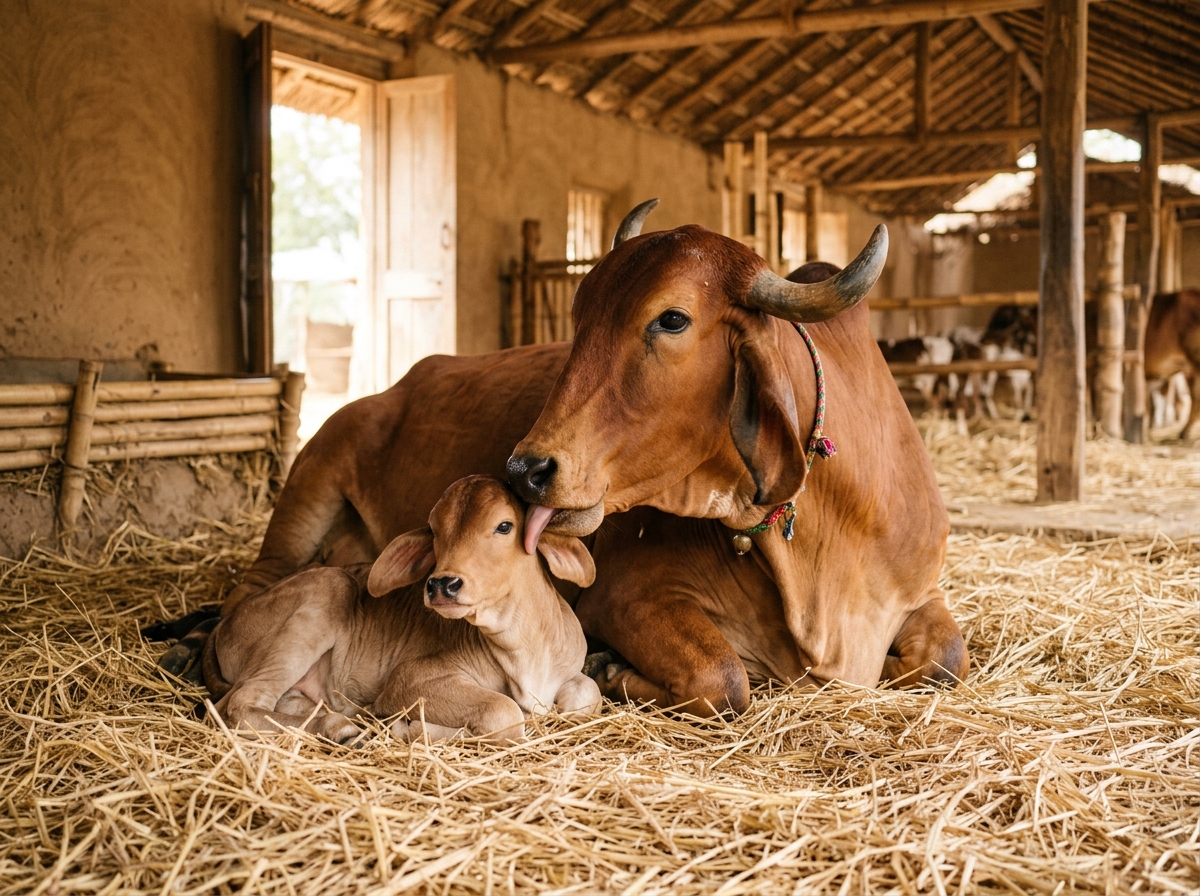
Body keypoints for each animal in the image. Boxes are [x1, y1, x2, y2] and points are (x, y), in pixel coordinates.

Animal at [202, 476, 601, 744]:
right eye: (435, 531)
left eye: (505, 526)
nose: (442, 584)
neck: (526, 654)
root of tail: (225, 622)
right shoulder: (409, 679)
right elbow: (503, 712)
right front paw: (413, 728)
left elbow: (588, 695)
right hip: (324, 592)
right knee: (236, 706)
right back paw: (343, 729)